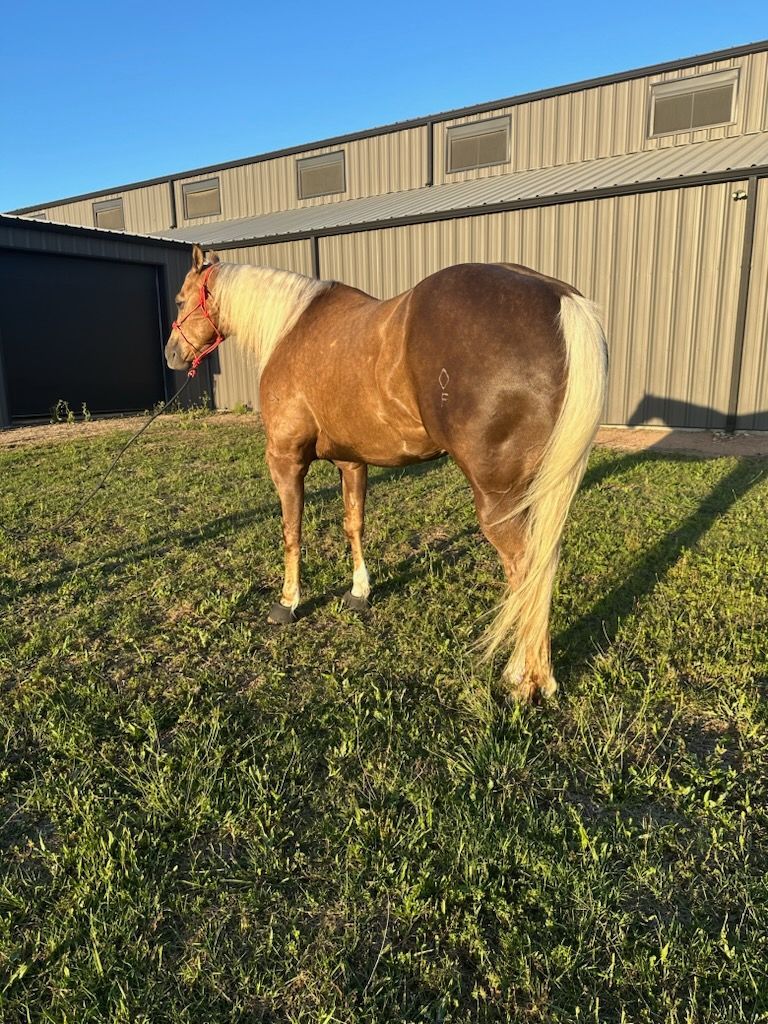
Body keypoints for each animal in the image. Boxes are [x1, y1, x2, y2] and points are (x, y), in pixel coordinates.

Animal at [166, 244, 607, 701]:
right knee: (543, 565)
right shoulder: (352, 462)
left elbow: (292, 533)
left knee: (524, 570)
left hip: (498, 499)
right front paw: (360, 591)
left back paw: (524, 676)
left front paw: (288, 602)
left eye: (179, 300)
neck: (292, 327)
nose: (172, 355)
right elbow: (354, 524)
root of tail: (559, 298)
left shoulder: (285, 460)